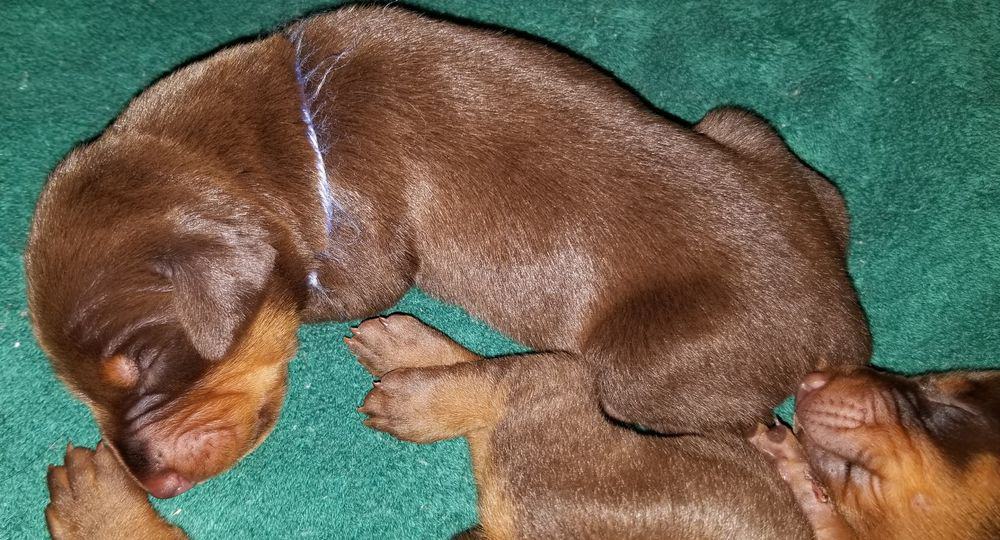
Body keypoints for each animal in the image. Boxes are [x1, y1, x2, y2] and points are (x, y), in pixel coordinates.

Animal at [25, 2, 868, 528]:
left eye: (144, 365)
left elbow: (347, 290)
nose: (149, 481)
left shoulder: (364, 246)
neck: (281, 138)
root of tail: (844, 320)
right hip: (748, 132)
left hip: (640, 366)